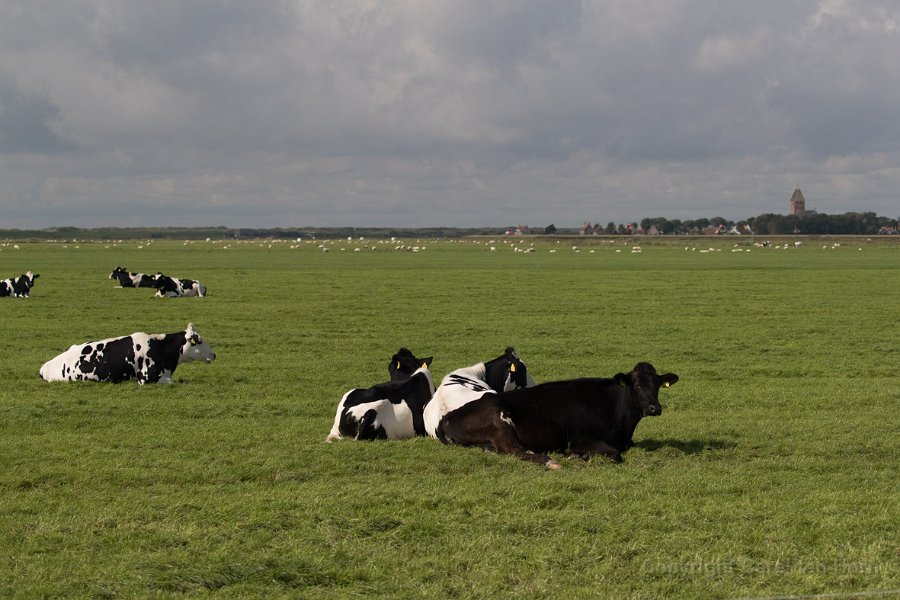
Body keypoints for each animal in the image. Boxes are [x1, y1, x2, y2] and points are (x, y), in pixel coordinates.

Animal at [434, 360, 676, 468]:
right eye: (638, 385)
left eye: (656, 385)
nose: (655, 408)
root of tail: (448, 416)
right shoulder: (581, 439)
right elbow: (615, 454)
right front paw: (576, 455)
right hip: (499, 421)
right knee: (511, 450)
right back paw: (549, 460)